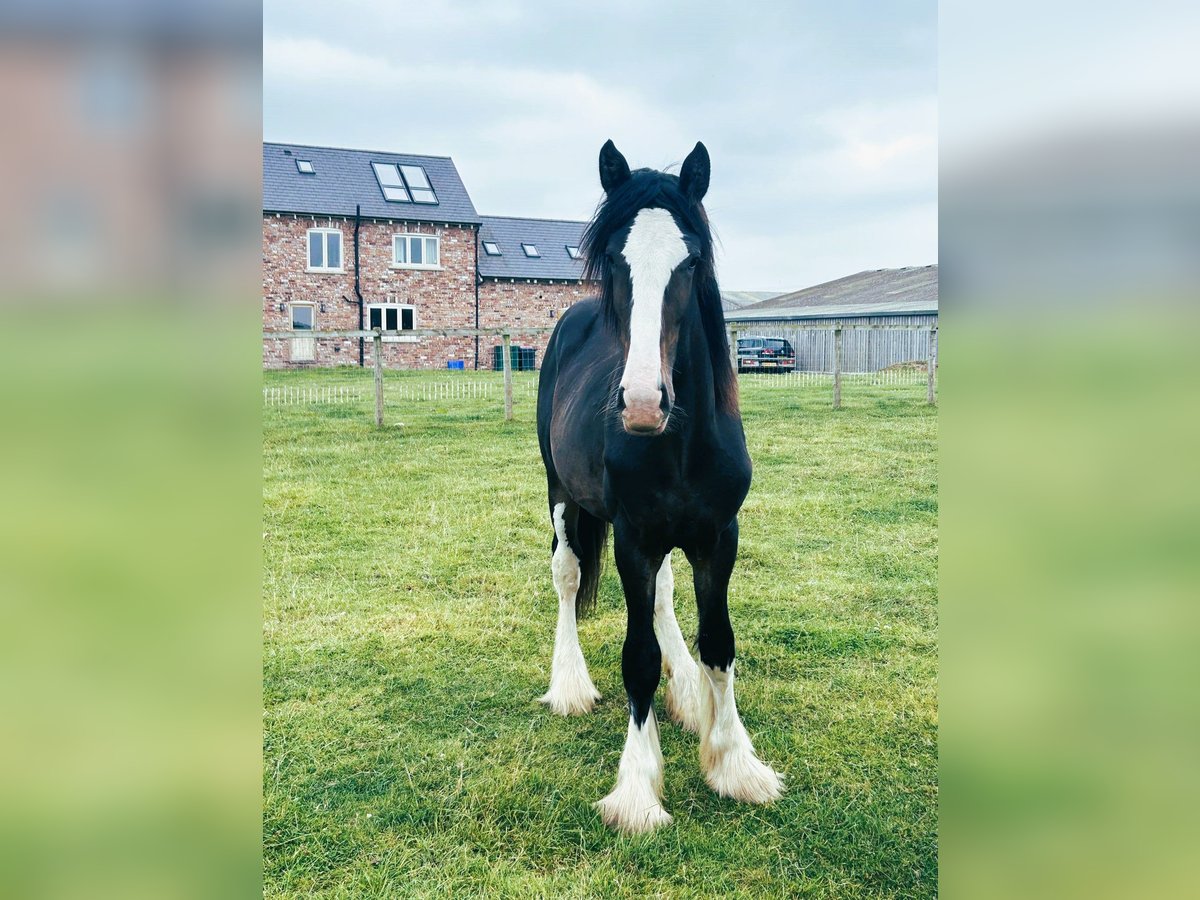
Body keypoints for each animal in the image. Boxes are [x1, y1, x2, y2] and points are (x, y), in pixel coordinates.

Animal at [537, 141, 782, 840]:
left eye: (691, 260)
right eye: (614, 260)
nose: (645, 403)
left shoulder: (717, 537)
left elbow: (719, 645)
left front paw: (734, 763)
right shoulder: (633, 541)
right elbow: (637, 658)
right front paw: (638, 791)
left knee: (667, 600)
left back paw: (688, 696)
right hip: (562, 494)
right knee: (567, 577)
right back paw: (570, 685)